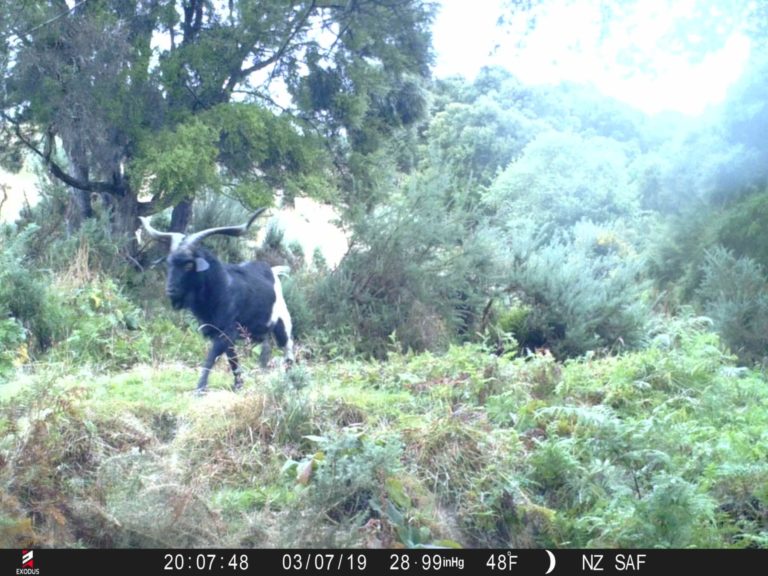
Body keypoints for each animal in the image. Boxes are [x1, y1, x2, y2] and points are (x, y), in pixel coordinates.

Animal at [139, 209, 294, 393]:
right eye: (169, 263)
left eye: (188, 265)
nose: (170, 290)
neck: (220, 289)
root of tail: (273, 271)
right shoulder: (219, 332)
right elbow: (232, 358)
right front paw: (238, 385)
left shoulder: (226, 332)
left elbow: (211, 357)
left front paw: (199, 389)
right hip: (258, 330)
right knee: (266, 346)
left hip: (282, 323)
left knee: (288, 349)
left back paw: (290, 379)